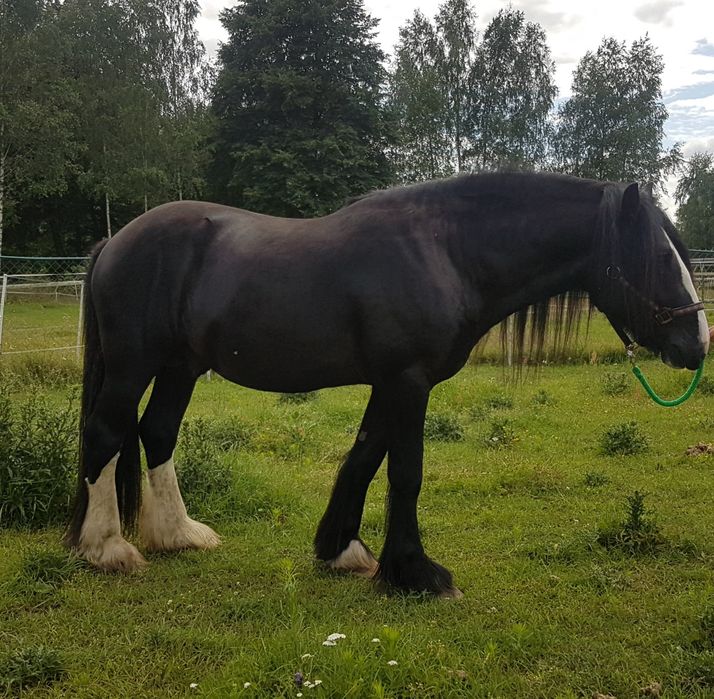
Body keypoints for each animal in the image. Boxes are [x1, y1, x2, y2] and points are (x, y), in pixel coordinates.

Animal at [65, 172, 708, 600]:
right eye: (658, 257)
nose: (698, 344)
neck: (444, 251)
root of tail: (113, 243)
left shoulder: (391, 383)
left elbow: (364, 457)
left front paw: (342, 550)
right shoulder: (407, 380)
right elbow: (404, 472)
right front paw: (416, 573)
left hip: (180, 366)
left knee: (157, 433)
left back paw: (178, 536)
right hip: (133, 364)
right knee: (106, 434)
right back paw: (108, 549)